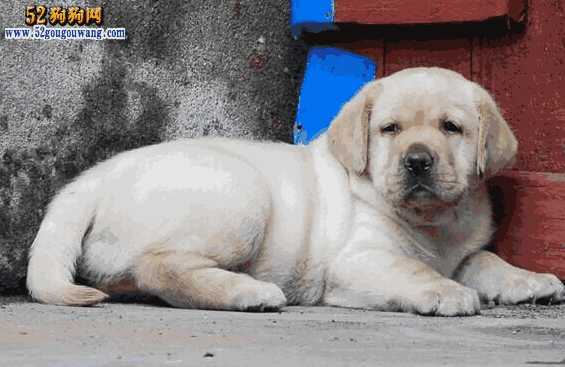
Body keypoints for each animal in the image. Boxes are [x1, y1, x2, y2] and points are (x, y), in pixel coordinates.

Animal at [27, 68, 564, 316]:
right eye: (389, 129)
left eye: (451, 128)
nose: (417, 161)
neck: (434, 223)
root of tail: (94, 177)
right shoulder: (359, 260)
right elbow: (412, 269)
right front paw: (444, 291)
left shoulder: (465, 250)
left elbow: (488, 261)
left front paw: (531, 279)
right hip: (242, 195)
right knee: (160, 266)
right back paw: (249, 292)